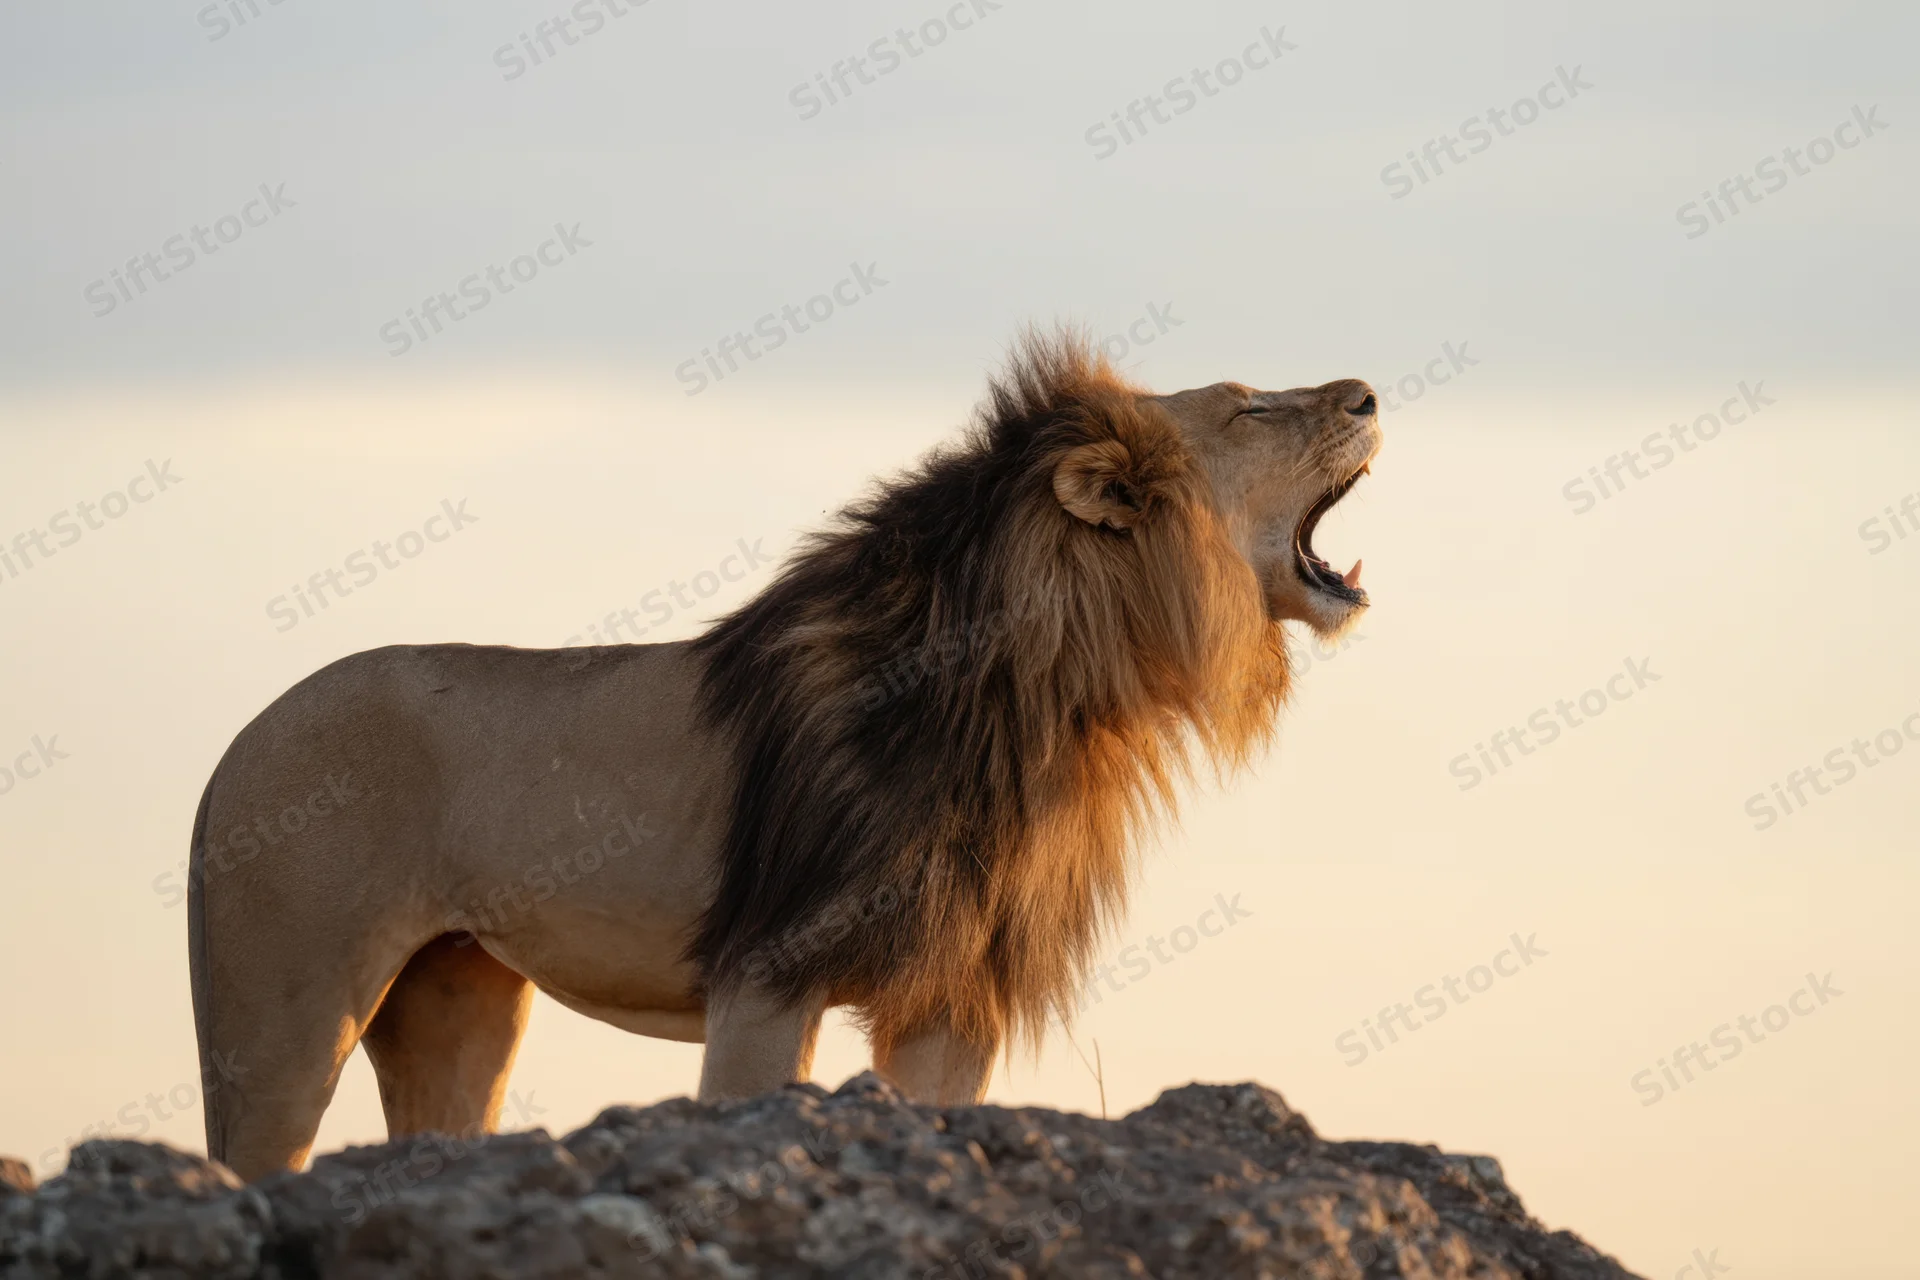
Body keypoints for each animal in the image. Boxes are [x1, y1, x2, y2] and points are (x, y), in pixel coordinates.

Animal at [187, 332, 1382, 1179]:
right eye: (1247, 406)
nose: (1368, 393)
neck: (1047, 704)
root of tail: (237, 742)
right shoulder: (766, 969)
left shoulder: (952, 1000)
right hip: (285, 1018)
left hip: (460, 998)